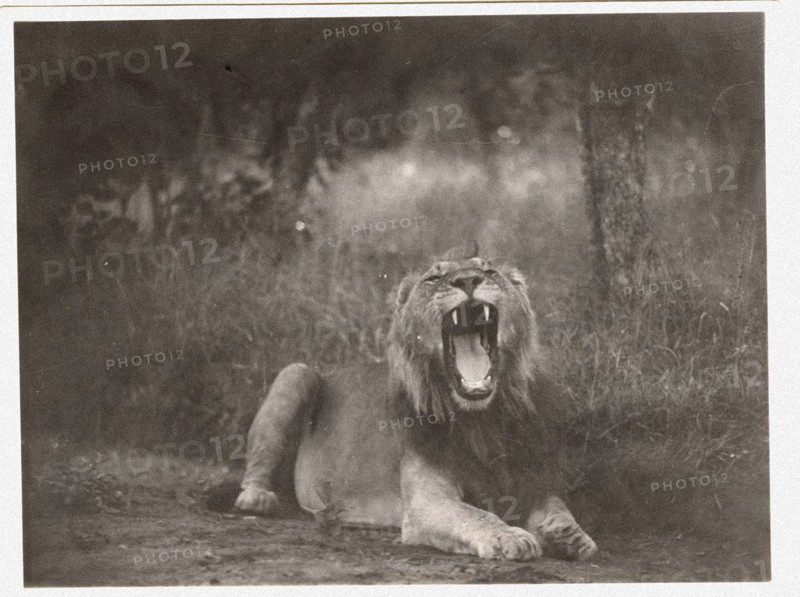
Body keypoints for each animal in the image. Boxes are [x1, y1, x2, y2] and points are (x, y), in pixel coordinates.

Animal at [233, 249, 597, 561]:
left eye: (489, 271)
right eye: (433, 278)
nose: (468, 280)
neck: (482, 421)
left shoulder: (529, 476)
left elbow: (557, 508)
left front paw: (571, 537)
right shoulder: (425, 503)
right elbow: (478, 515)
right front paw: (511, 536)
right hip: (297, 373)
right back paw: (258, 499)